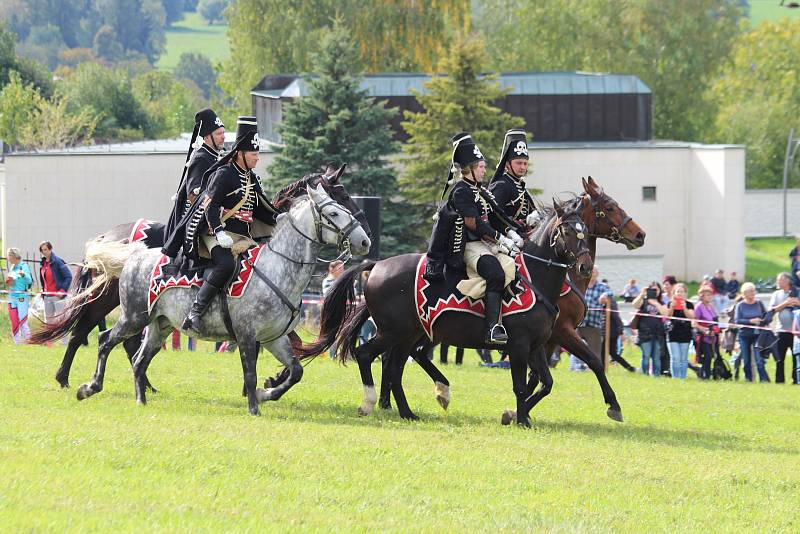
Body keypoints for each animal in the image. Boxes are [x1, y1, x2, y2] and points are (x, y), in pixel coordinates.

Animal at [300, 199, 592, 430]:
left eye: (586, 231)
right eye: (567, 230)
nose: (585, 267)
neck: (536, 279)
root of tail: (376, 265)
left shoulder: (537, 347)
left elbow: (546, 383)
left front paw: (515, 415)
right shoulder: (519, 347)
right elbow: (520, 385)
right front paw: (519, 418)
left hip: (409, 335)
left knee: (394, 368)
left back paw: (408, 411)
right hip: (393, 333)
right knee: (366, 355)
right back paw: (370, 403)